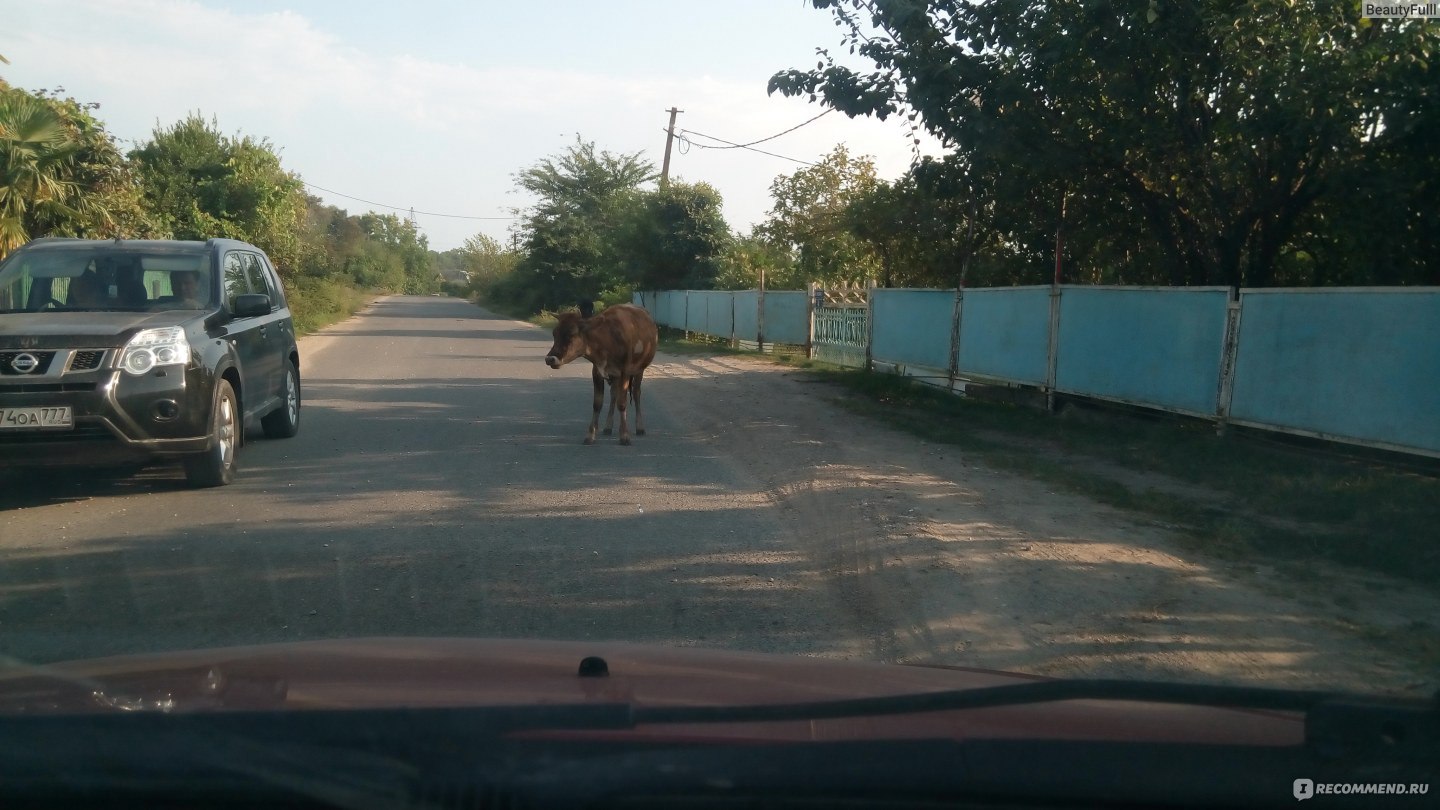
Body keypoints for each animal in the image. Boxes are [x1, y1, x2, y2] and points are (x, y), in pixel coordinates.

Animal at [541, 301, 656, 443]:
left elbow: (622, 403)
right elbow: (597, 404)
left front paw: (624, 436)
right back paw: (608, 427)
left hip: (640, 369)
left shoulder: (625, 371)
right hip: (615, 376)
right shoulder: (597, 371)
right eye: (554, 333)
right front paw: (590, 435)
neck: (607, 341)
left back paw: (640, 427)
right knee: (614, 394)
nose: (550, 359)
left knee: (636, 393)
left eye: (572, 334)